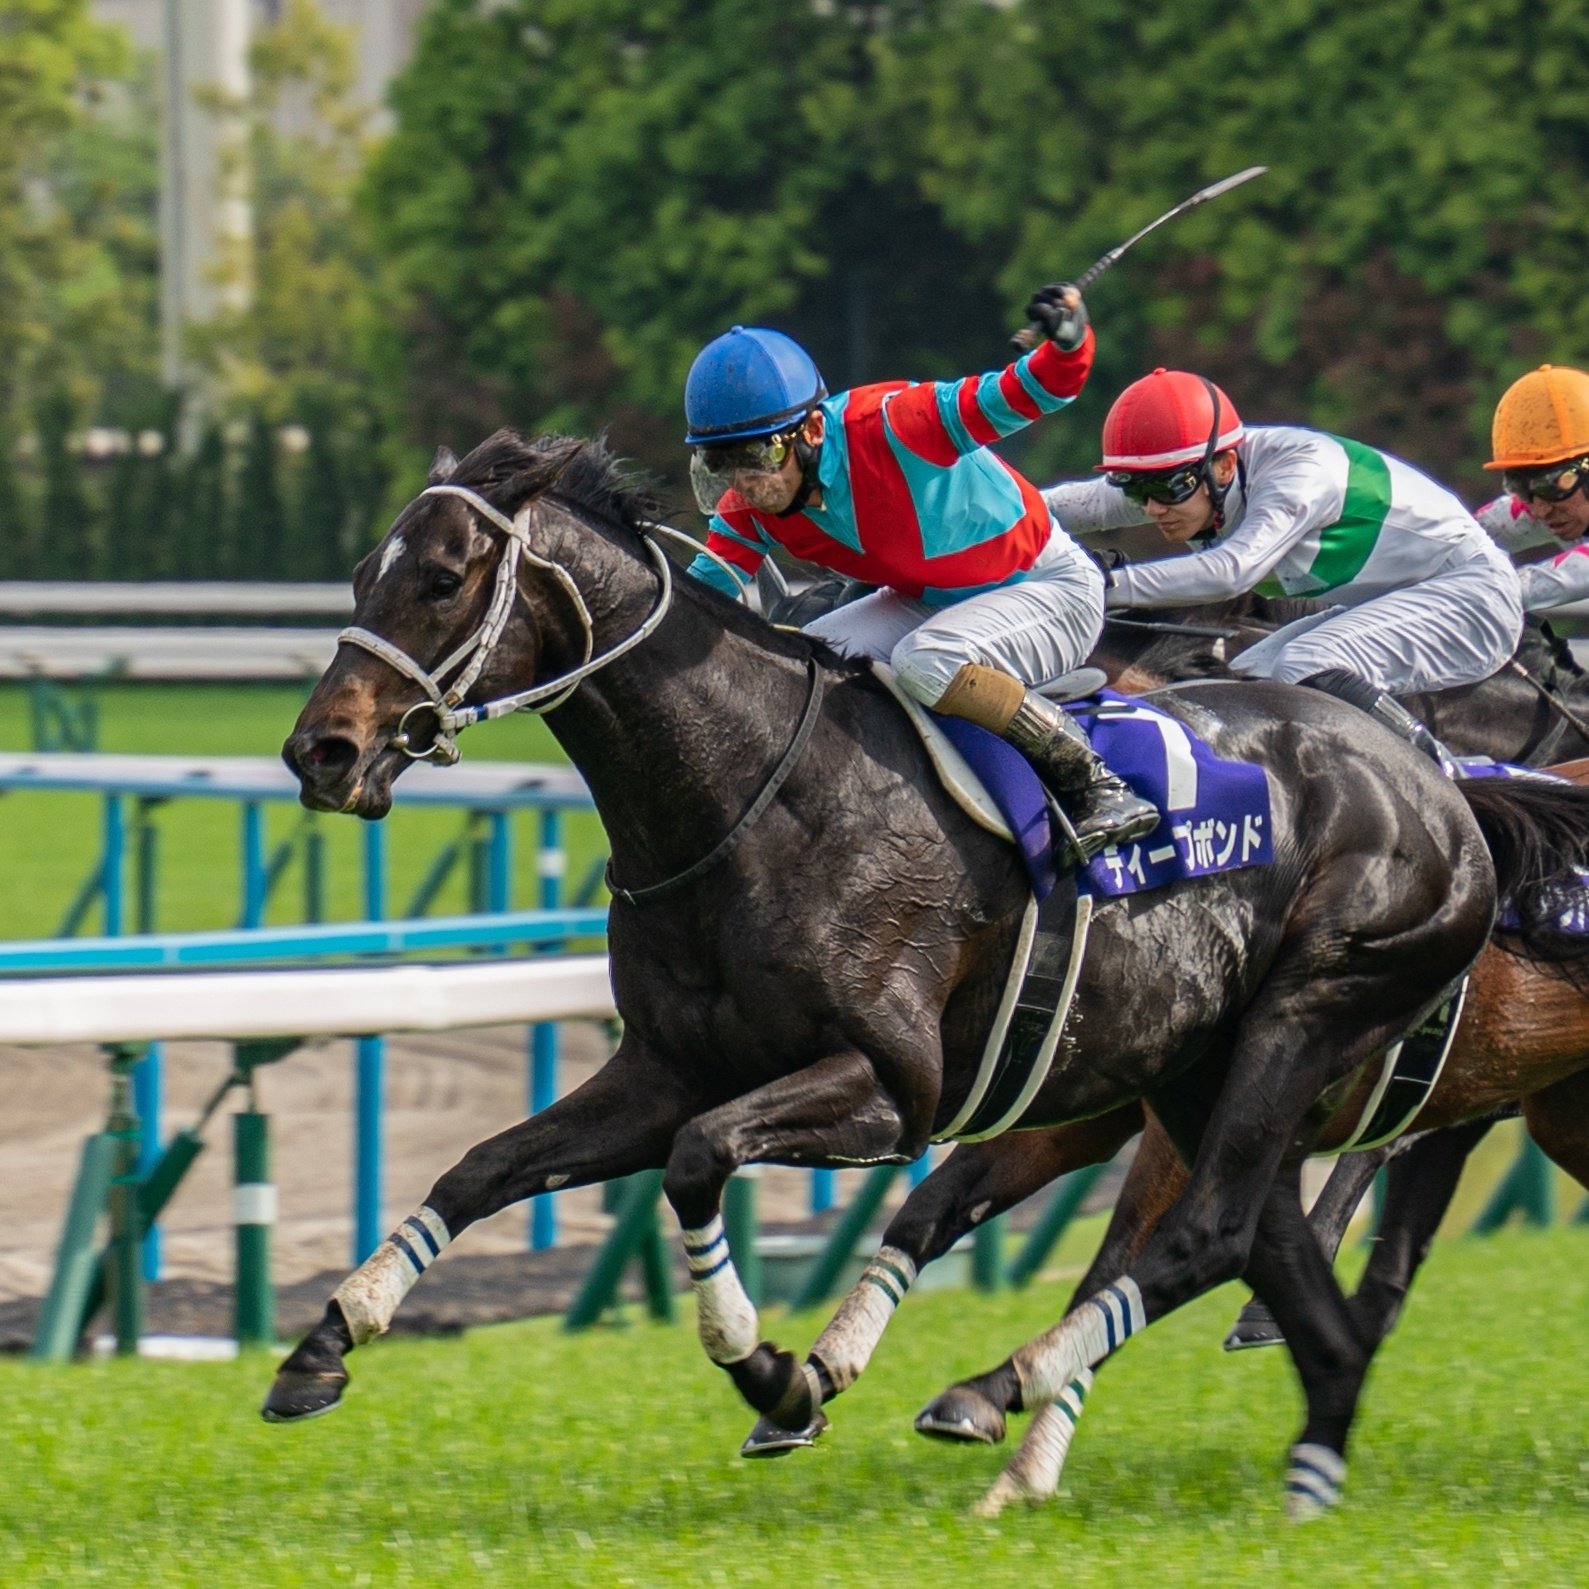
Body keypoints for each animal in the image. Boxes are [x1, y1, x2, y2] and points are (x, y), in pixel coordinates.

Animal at [266, 430, 1542, 1514]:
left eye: (442, 577)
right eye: (361, 575)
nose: (320, 749)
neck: (750, 793)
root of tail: (1439, 786)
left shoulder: (890, 1087)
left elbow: (698, 1160)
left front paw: (771, 1369)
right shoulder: (665, 1068)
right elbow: (483, 1165)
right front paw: (325, 1340)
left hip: (1309, 1011)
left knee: (1217, 1230)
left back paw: (1013, 1382)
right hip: (1194, 1067)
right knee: (1280, 1267)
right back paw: (1288, 1464)